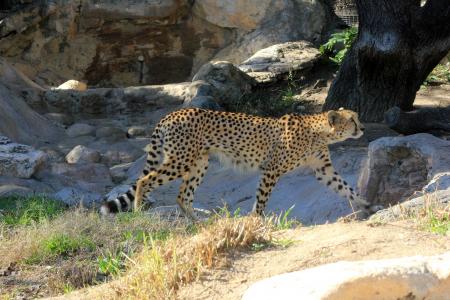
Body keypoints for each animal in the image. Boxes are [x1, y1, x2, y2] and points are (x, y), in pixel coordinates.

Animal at [100, 106, 370, 219]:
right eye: (353, 120)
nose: (363, 128)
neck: (319, 131)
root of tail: (173, 113)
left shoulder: (323, 169)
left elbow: (345, 187)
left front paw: (366, 204)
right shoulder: (271, 170)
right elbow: (262, 199)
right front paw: (257, 220)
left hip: (199, 163)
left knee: (182, 194)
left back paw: (196, 222)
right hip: (181, 160)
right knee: (145, 180)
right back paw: (138, 212)